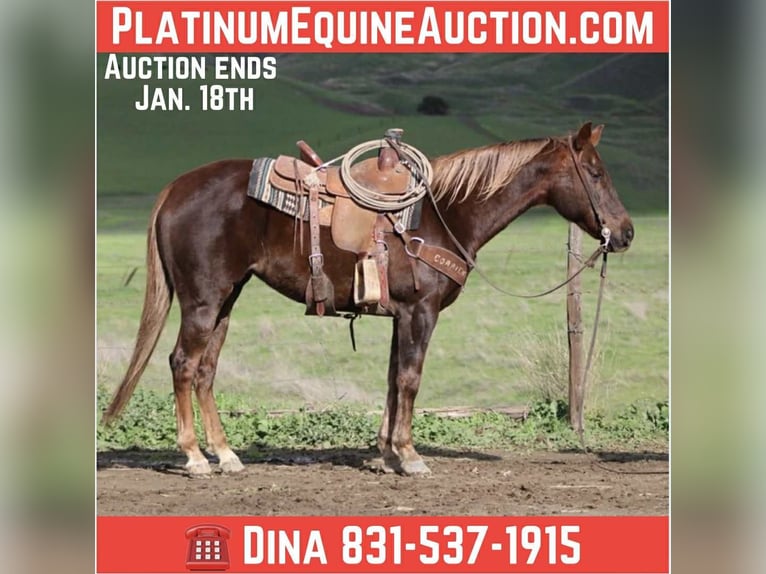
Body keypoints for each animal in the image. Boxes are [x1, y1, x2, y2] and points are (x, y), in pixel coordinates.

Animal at [102, 122, 634, 476]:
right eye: (595, 173)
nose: (626, 232)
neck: (445, 214)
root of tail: (176, 187)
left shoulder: (401, 315)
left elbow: (393, 380)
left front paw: (386, 453)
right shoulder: (421, 313)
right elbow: (411, 380)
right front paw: (411, 456)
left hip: (227, 300)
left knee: (206, 370)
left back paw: (227, 455)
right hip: (203, 300)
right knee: (182, 364)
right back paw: (194, 457)